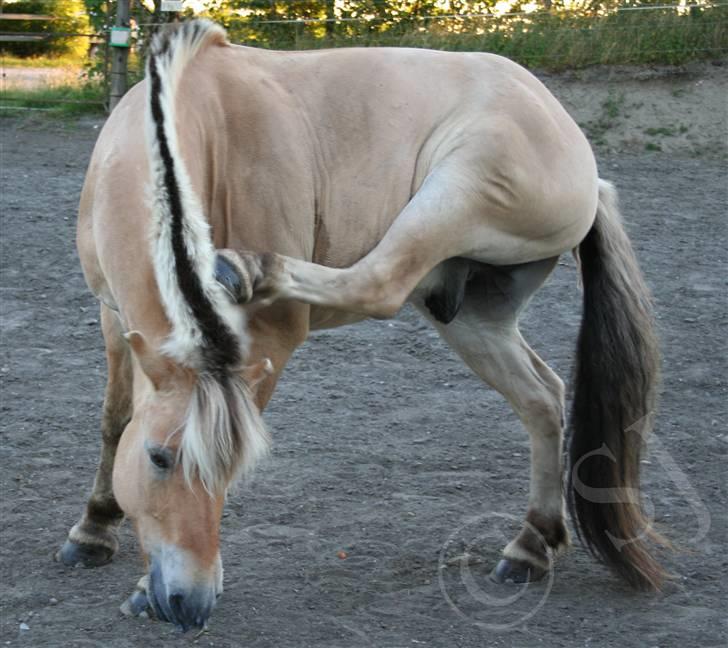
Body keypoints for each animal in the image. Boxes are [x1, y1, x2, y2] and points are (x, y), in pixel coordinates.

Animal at [59, 20, 668, 628]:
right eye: (159, 458)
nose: (193, 602)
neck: (192, 118)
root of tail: (584, 163)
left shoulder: (269, 340)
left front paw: (139, 579)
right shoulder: (113, 317)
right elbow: (115, 420)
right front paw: (94, 529)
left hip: (460, 187)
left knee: (381, 281)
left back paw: (247, 269)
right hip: (473, 318)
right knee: (542, 397)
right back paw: (531, 547)